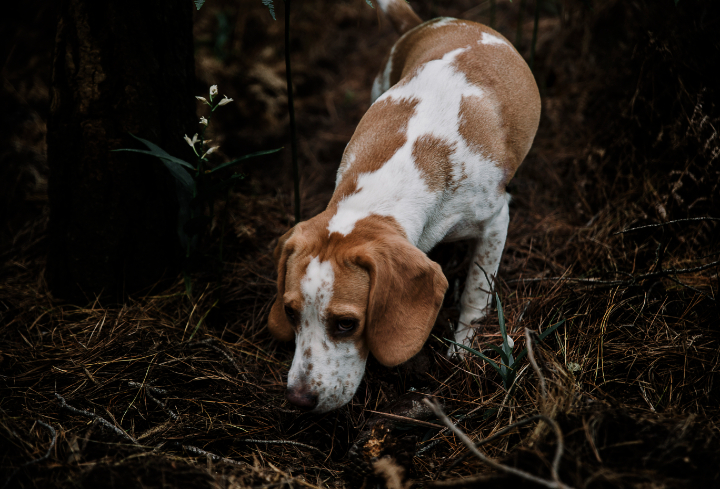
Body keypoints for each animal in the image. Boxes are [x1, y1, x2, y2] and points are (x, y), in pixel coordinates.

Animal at [270, 0, 540, 412]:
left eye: (346, 324)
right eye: (290, 312)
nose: (298, 400)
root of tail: (433, 22)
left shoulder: (496, 219)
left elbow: (476, 291)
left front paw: (463, 349)